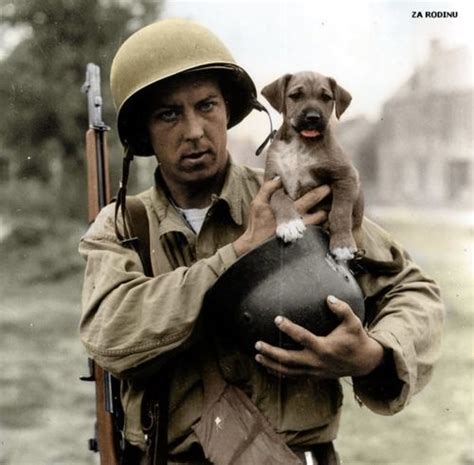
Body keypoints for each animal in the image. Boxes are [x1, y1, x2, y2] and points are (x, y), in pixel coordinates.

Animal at [262, 72, 362, 260]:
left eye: (326, 98)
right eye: (295, 96)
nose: (313, 117)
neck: (300, 143)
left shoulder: (346, 176)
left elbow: (340, 211)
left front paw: (342, 243)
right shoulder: (271, 181)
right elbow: (279, 198)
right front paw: (289, 224)